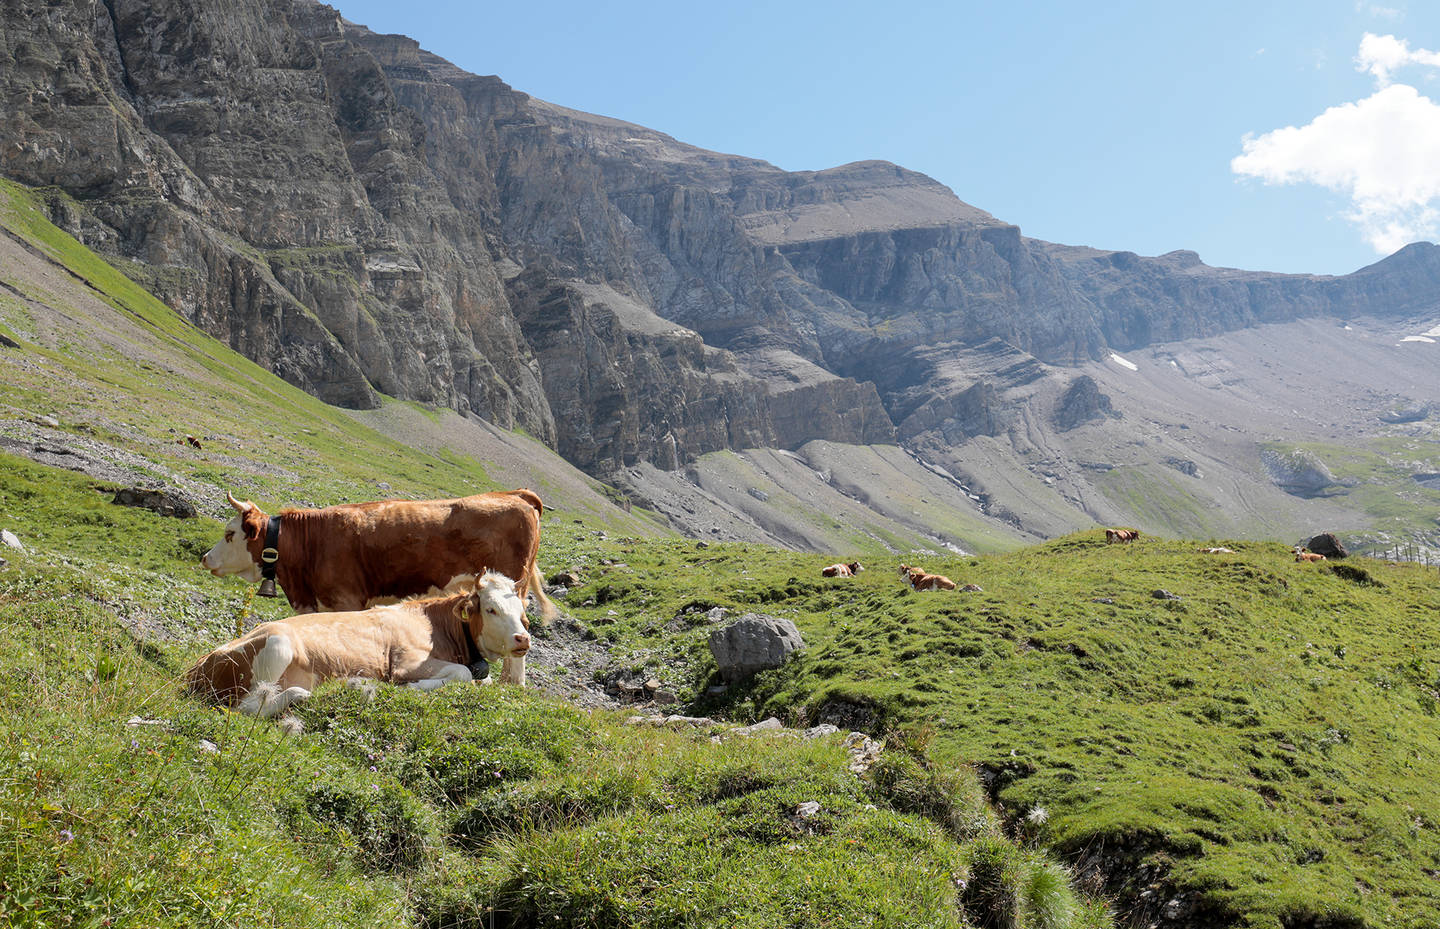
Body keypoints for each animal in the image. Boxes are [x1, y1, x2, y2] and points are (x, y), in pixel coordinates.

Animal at [185, 567, 535, 714]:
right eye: (490, 609)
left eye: (521, 612)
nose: (523, 638)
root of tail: (197, 667)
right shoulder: (405, 663)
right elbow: (460, 674)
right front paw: (412, 688)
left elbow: (480, 680)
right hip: (276, 645)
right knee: (249, 706)